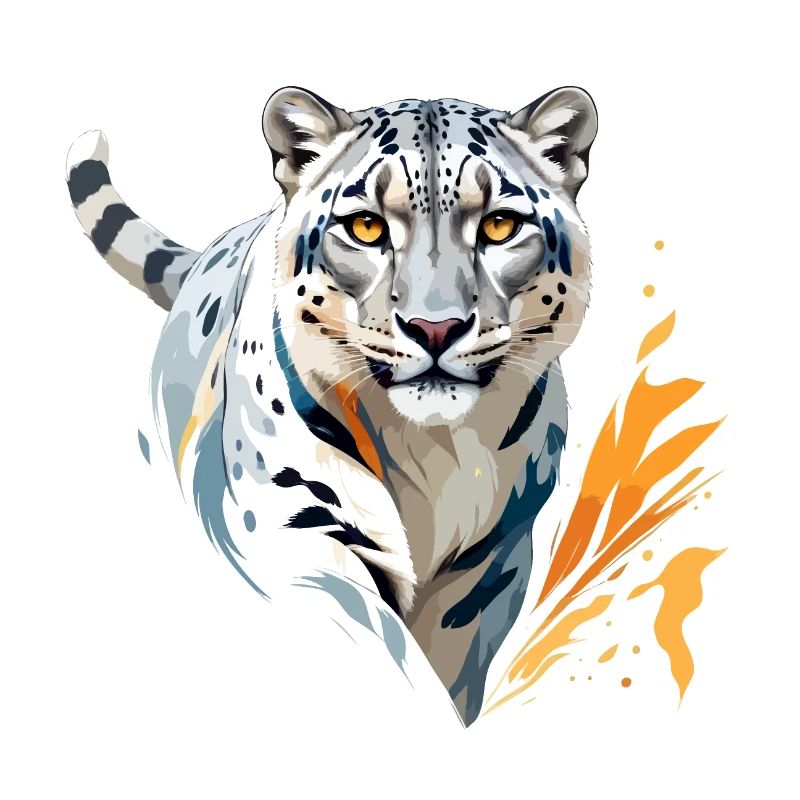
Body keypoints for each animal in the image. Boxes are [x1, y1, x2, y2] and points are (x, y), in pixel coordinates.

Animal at [66, 85, 597, 725]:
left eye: (499, 225)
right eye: (366, 226)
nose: (435, 327)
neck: (433, 452)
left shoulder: (490, 564)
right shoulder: (301, 530)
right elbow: (382, 646)